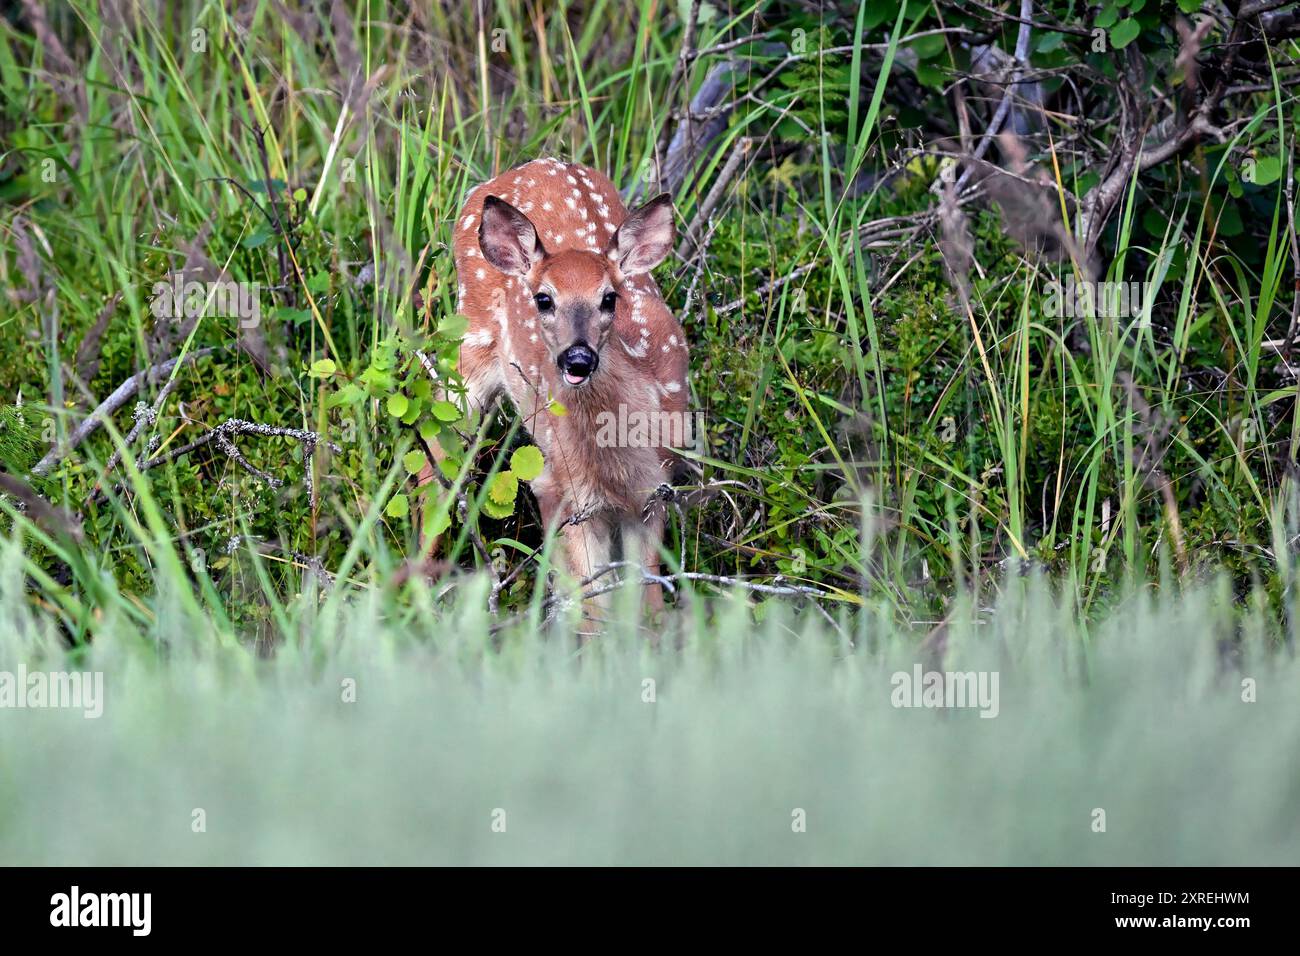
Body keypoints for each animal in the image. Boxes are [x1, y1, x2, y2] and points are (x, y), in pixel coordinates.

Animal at [418, 158, 689, 621]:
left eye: (609, 298)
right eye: (543, 299)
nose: (577, 359)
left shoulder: (655, 493)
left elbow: (647, 608)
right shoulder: (569, 495)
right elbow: (595, 610)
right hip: (469, 351)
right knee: (433, 460)